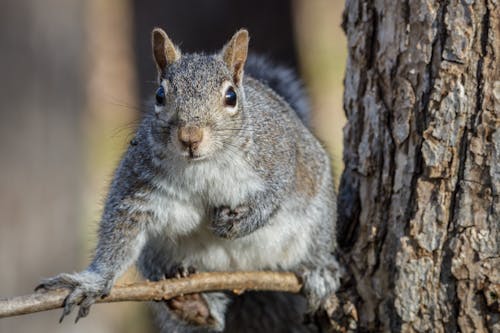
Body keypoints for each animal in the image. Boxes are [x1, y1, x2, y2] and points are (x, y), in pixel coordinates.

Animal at [35, 27, 340, 332]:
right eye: (159, 95)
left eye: (231, 97)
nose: (190, 137)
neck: (203, 165)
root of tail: (243, 268)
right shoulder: (139, 182)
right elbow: (121, 228)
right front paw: (95, 281)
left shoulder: (280, 156)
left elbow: (275, 193)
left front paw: (241, 222)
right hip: (157, 257)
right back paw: (195, 305)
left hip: (318, 212)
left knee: (317, 242)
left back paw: (319, 271)